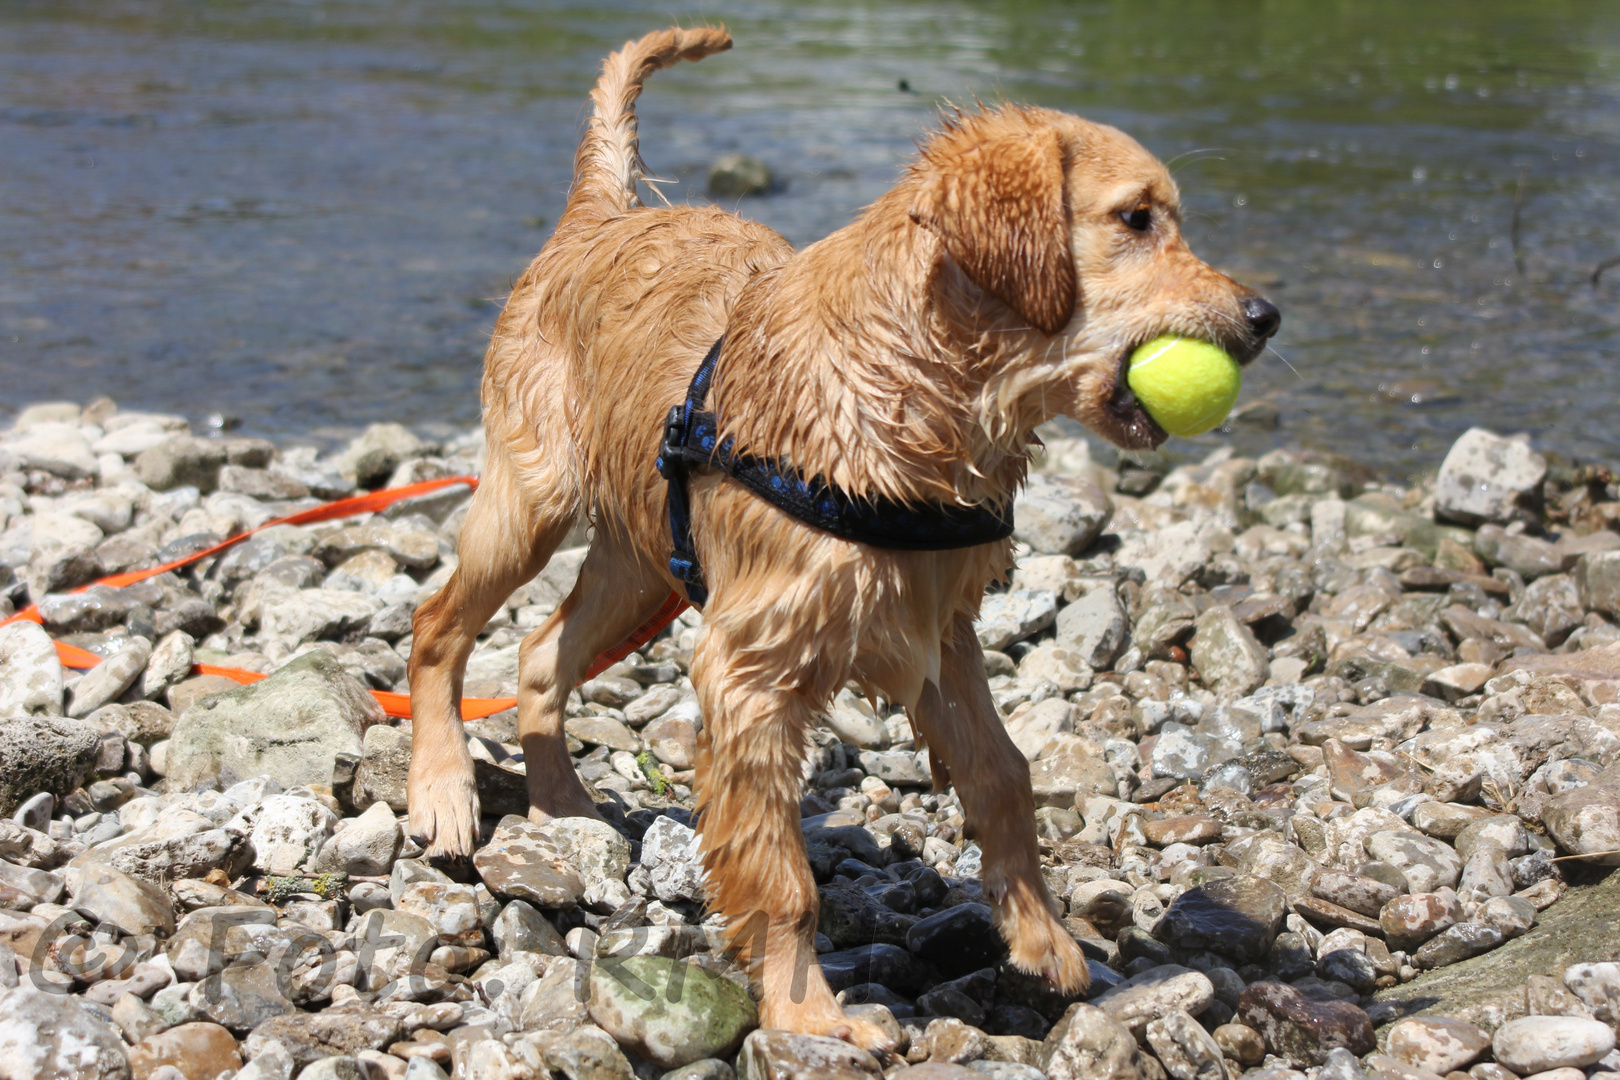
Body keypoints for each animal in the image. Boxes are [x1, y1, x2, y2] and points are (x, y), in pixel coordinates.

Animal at [405, 25, 1276, 1049]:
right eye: (1136, 218)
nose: (1265, 317)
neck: (912, 406)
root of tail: (600, 218)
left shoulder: (940, 630)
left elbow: (1003, 775)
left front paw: (1042, 936)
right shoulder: (750, 668)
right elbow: (782, 877)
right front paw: (805, 1009)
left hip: (645, 563)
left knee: (542, 651)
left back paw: (564, 807)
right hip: (530, 503)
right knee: (438, 625)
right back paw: (443, 792)